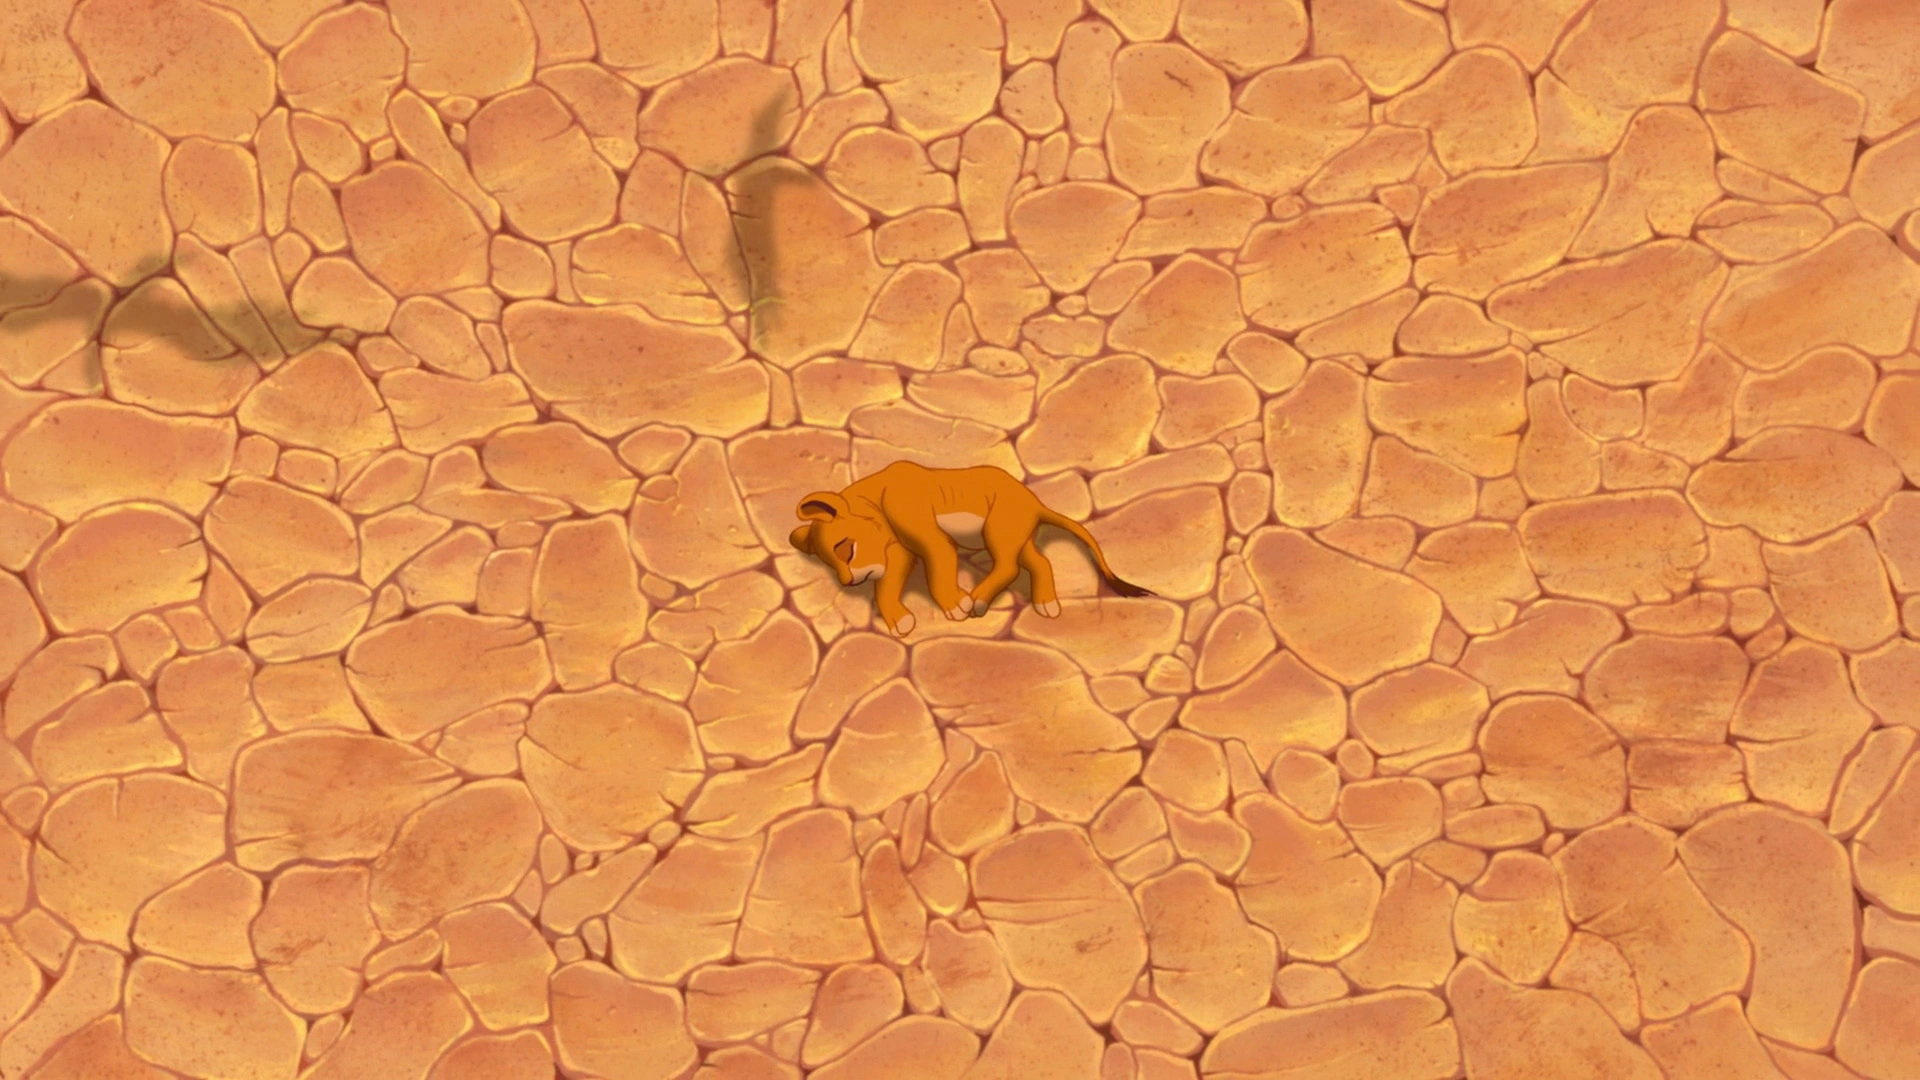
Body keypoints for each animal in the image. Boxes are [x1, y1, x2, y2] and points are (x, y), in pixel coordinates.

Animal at [789, 460, 1154, 637]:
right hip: (1016, 536)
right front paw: (899, 622)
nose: (848, 582)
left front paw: (955, 605)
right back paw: (1046, 604)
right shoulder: (897, 553)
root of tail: (1035, 502)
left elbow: (938, 570)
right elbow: (886, 590)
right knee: (1040, 563)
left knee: (1009, 565)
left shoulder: (930, 539)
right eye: (830, 564)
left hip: (998, 528)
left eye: (844, 548)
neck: (875, 496)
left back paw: (977, 600)